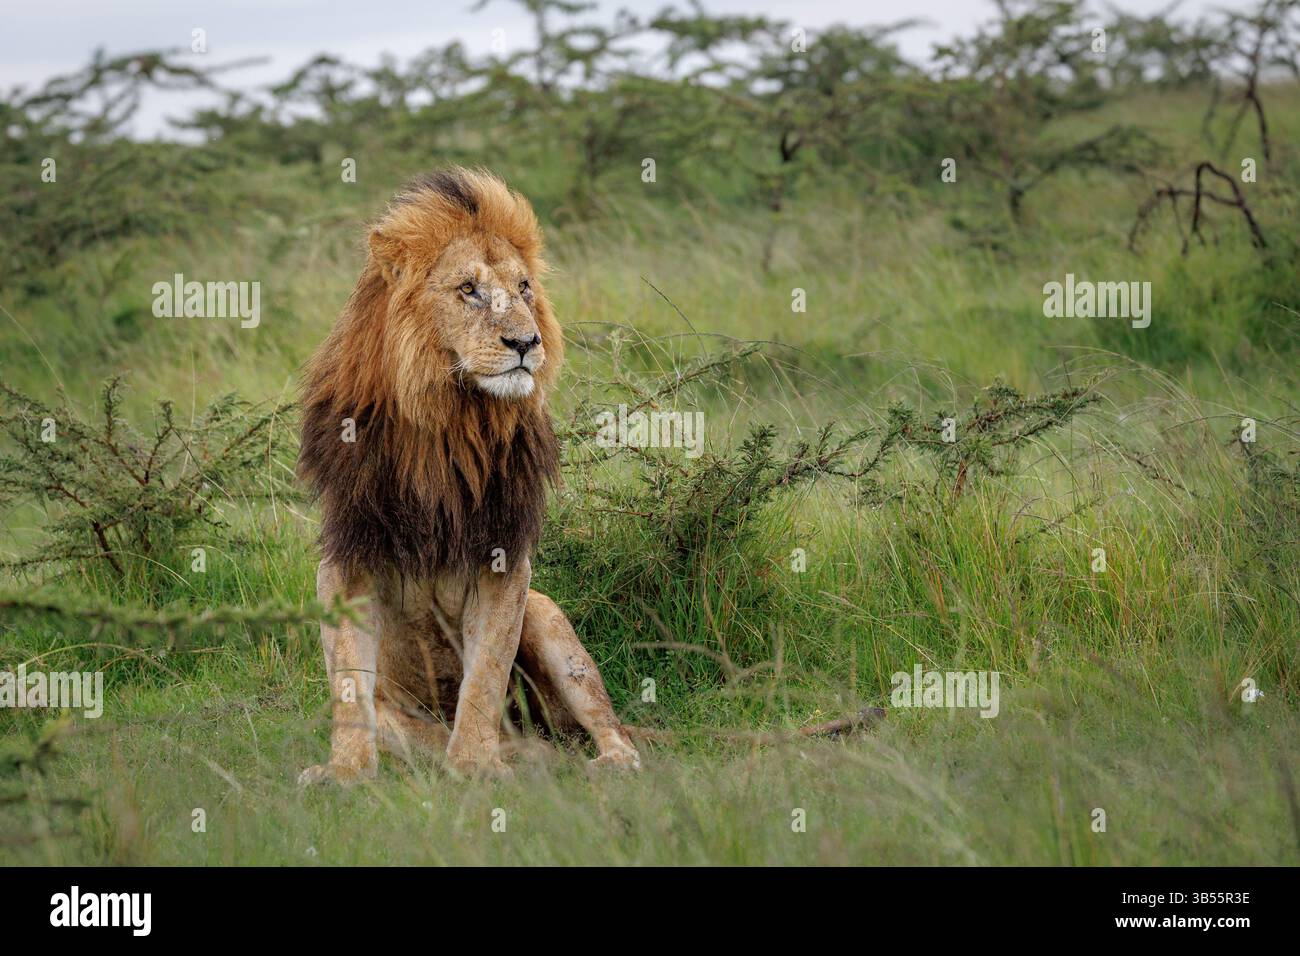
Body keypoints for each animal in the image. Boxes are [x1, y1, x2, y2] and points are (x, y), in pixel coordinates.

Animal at [296, 168, 641, 783]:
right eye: (468, 290)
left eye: (524, 289)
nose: (526, 343)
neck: (450, 418)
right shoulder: (347, 557)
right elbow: (350, 685)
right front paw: (346, 772)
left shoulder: (506, 561)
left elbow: (484, 676)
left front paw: (474, 767)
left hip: (546, 616)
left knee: (610, 725)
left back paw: (597, 762)